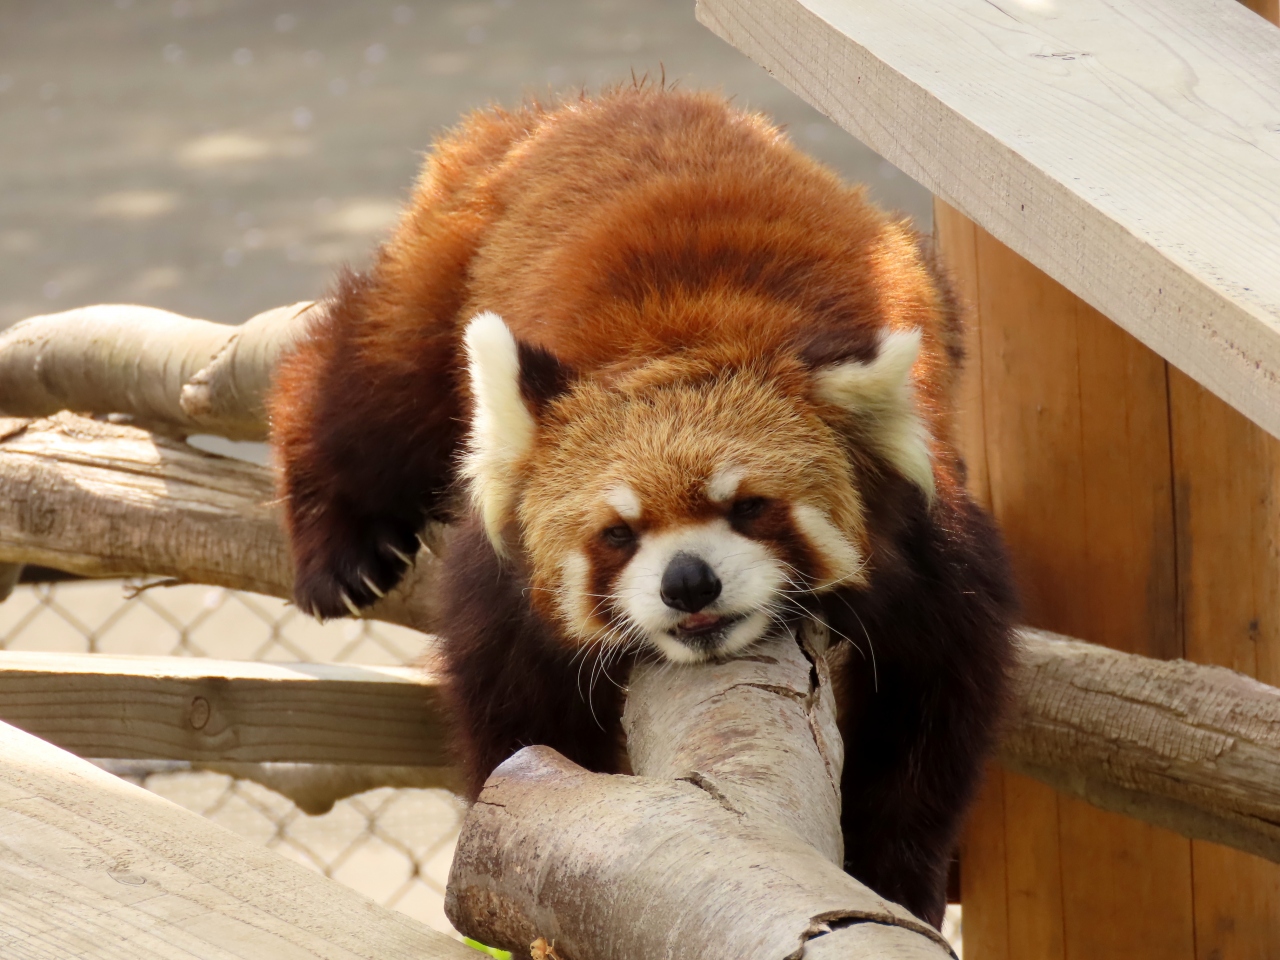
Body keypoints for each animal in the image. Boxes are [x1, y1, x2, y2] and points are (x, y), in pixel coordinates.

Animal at [272, 84, 1018, 931]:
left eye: (749, 507)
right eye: (618, 534)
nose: (689, 583)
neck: (689, 335)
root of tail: (575, 104)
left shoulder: (929, 550)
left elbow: (932, 710)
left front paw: (894, 877)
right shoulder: (506, 578)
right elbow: (514, 705)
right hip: (452, 256)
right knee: (374, 379)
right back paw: (338, 543)